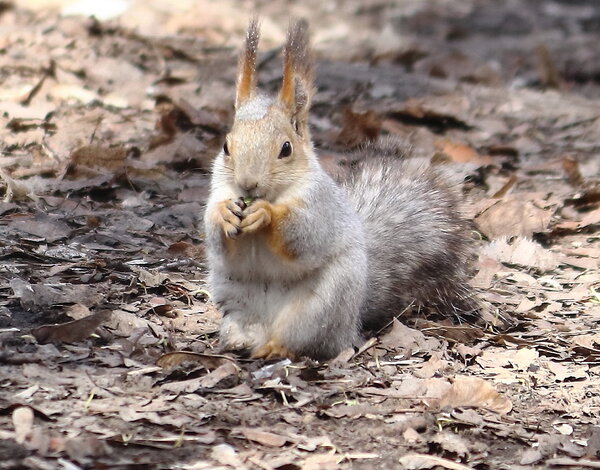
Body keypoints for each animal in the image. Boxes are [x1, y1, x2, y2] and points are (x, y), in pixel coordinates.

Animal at [205, 19, 478, 360]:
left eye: (286, 148)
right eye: (226, 147)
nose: (247, 183)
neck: (274, 194)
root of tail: (352, 321)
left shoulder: (321, 207)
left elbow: (304, 234)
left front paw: (266, 215)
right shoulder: (218, 190)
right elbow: (214, 234)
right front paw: (224, 214)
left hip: (321, 307)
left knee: (306, 342)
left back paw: (275, 348)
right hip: (233, 300)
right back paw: (238, 343)